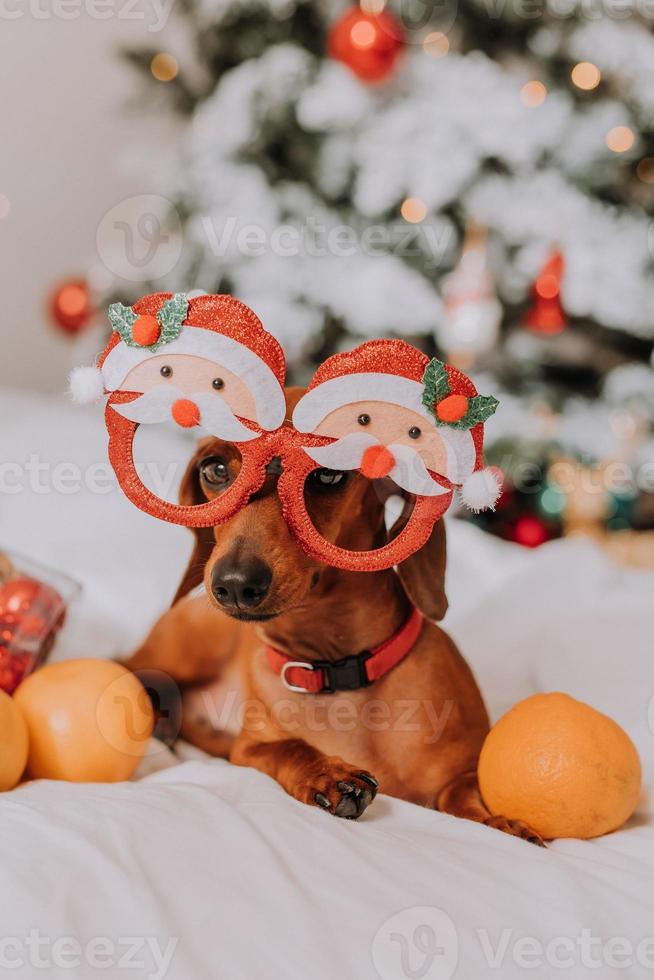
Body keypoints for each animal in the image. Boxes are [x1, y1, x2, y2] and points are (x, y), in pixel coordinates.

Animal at [125, 388, 544, 844]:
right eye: (215, 469)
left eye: (327, 475)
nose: (234, 584)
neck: (337, 669)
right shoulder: (248, 748)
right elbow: (286, 746)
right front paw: (327, 773)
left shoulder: (464, 768)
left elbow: (462, 793)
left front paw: (498, 823)